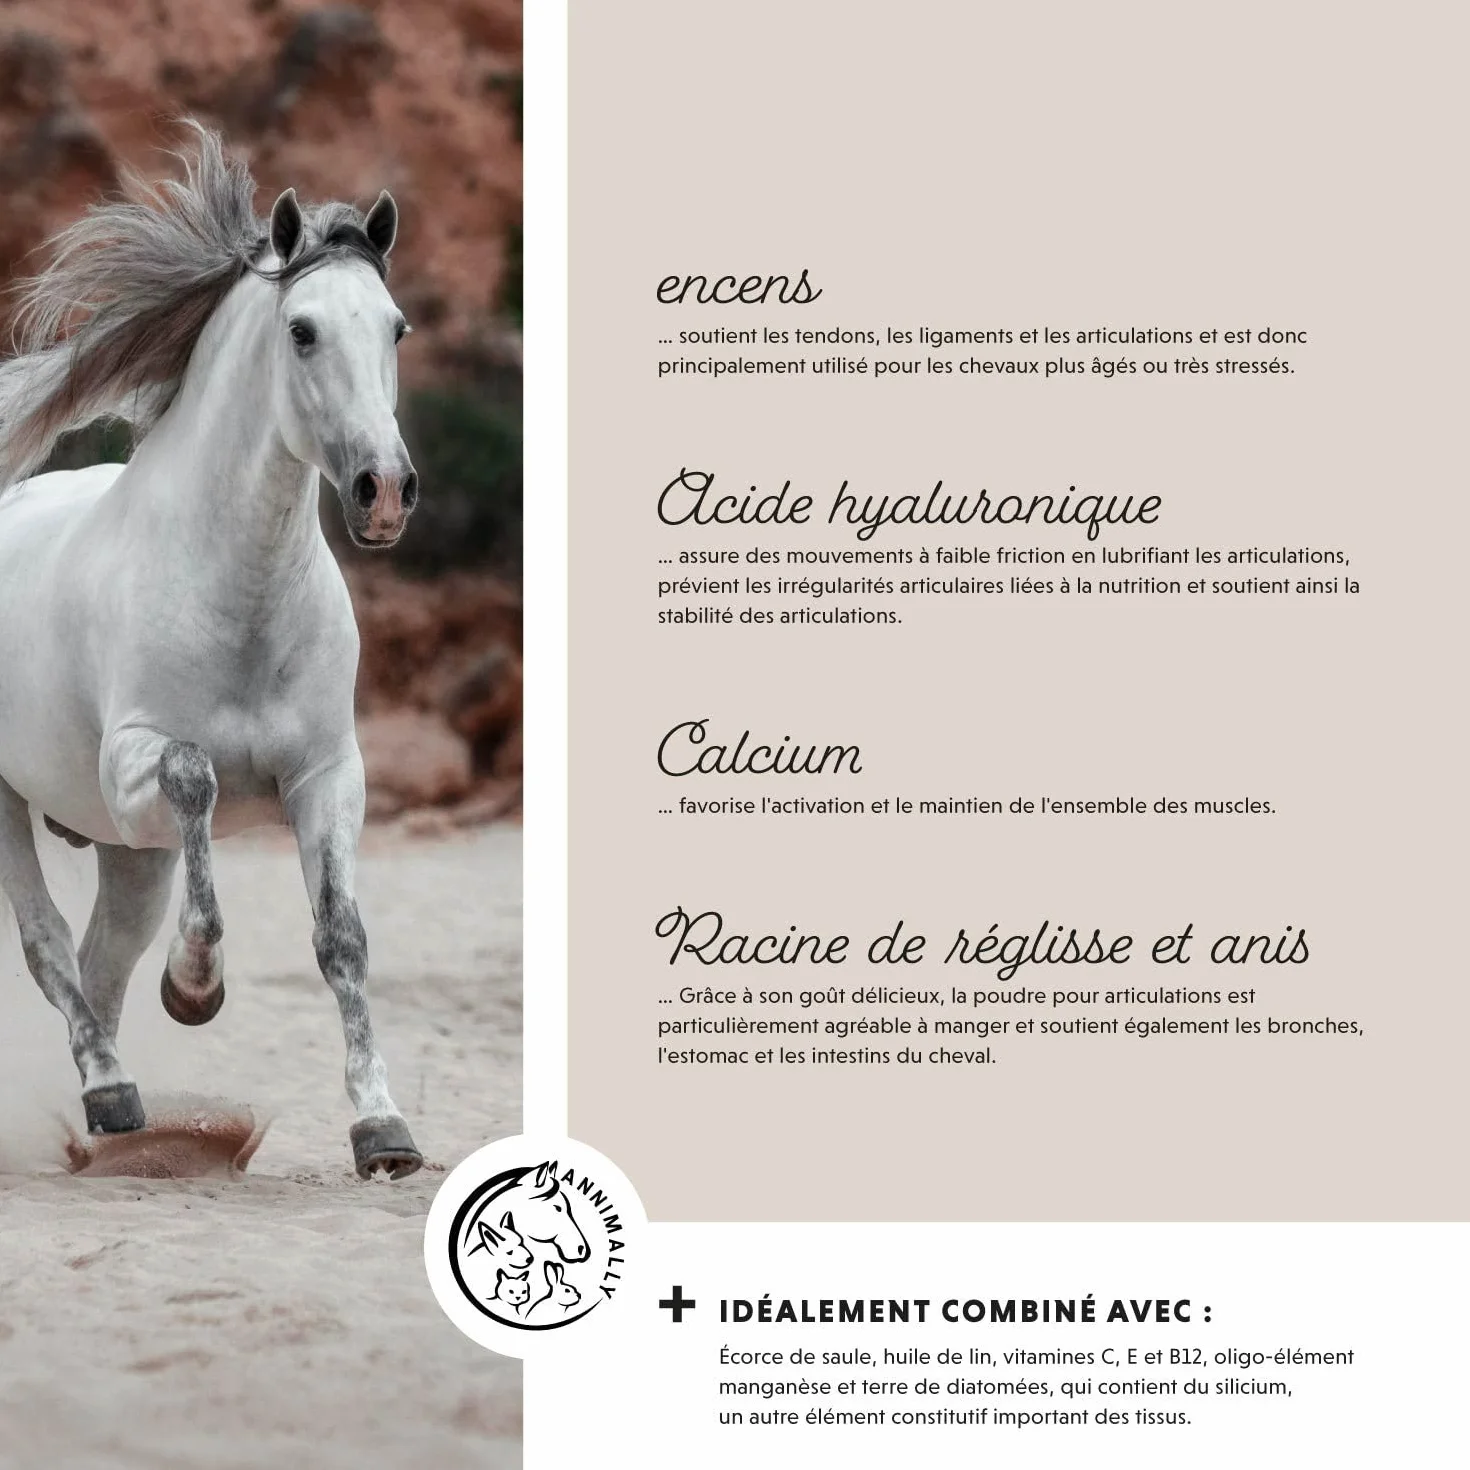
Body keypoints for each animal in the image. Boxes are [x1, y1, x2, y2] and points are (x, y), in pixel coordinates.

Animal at [0, 123, 424, 1179]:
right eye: (302, 330)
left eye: (395, 328)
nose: (384, 491)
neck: (241, 597)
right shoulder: (134, 766)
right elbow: (196, 777)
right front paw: (195, 987)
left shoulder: (328, 776)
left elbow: (342, 939)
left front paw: (382, 1129)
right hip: (18, 807)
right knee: (50, 948)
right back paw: (112, 1091)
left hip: (129, 857)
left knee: (101, 962)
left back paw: (111, 1120)